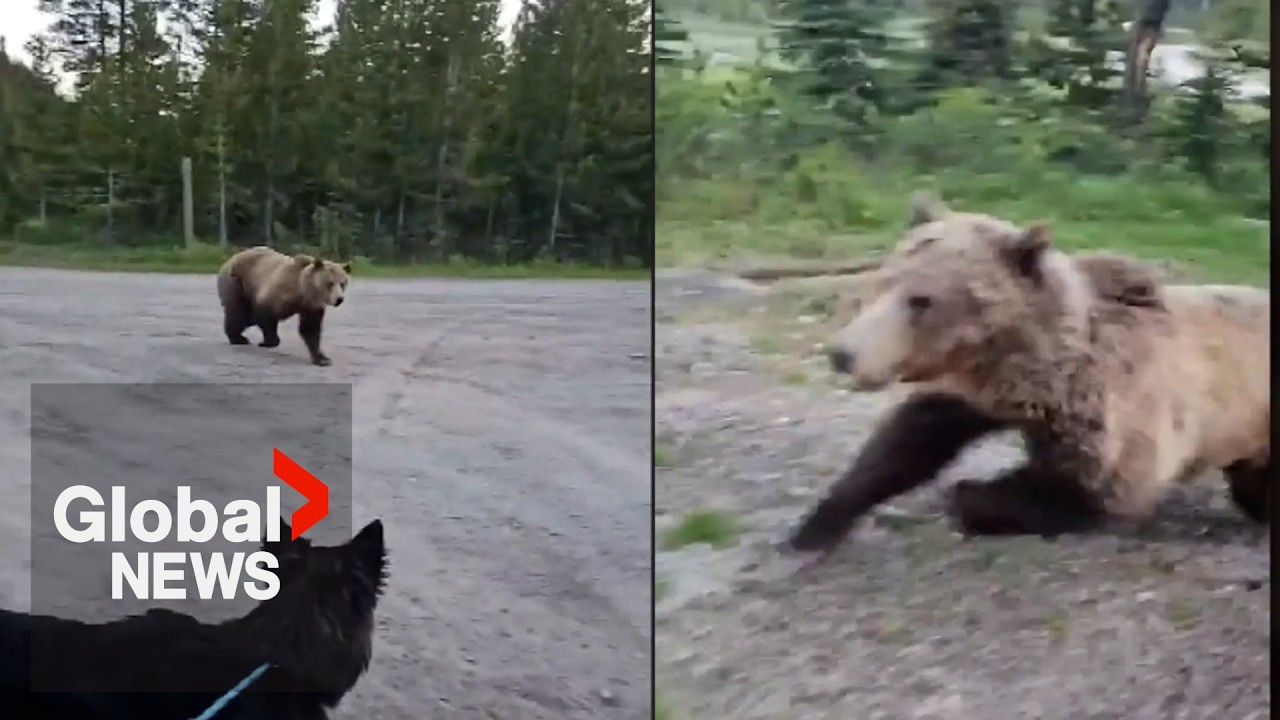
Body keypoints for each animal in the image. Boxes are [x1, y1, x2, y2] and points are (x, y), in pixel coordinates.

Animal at [217, 246, 351, 366]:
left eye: (342, 283)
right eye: (330, 283)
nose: (339, 299)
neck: (301, 291)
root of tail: (230, 260)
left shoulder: (310, 305)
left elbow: (310, 329)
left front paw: (322, 358)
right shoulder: (276, 291)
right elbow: (264, 315)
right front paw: (268, 341)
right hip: (237, 283)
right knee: (238, 313)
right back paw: (238, 338)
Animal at [788, 203, 1269, 554]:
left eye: (920, 300)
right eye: (882, 281)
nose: (842, 354)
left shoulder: (1118, 407)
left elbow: (1092, 488)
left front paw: (970, 495)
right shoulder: (973, 394)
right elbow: (907, 442)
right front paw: (815, 526)